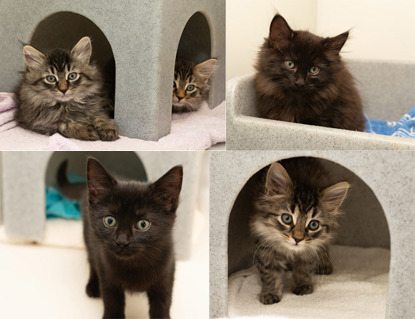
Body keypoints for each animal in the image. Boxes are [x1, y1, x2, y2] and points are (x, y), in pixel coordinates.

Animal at [83, 158, 183, 319]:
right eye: (110, 221)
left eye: (143, 224)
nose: (122, 241)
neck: (135, 264)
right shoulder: (107, 273)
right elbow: (111, 303)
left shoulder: (166, 274)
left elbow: (162, 304)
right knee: (92, 261)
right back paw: (93, 286)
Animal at [250, 158, 352, 304]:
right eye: (286, 218)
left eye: (313, 225)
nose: (298, 239)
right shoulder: (264, 243)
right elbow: (269, 273)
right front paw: (270, 293)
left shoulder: (311, 249)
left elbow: (304, 268)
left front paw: (302, 285)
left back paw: (324, 264)